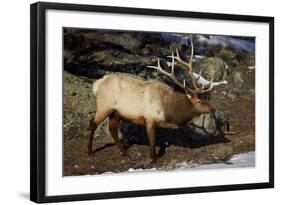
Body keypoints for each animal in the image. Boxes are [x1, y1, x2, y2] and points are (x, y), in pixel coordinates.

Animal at [87, 38, 225, 163]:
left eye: (204, 99)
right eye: (199, 101)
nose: (212, 108)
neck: (168, 110)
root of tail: (96, 85)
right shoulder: (149, 118)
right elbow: (152, 141)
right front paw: (153, 159)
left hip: (115, 112)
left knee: (112, 129)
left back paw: (125, 154)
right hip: (104, 106)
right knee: (92, 123)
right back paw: (90, 152)